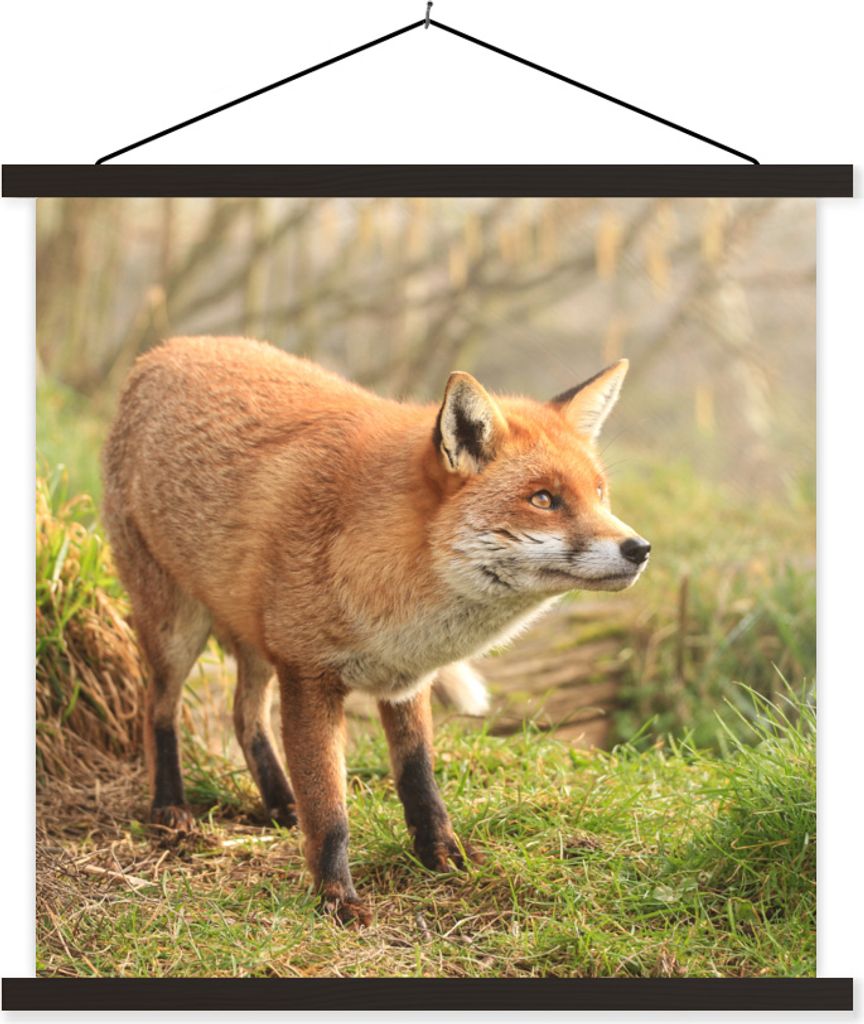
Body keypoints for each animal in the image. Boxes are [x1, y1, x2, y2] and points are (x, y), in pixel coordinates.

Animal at [102, 336, 650, 924]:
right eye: (544, 499)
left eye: (599, 494)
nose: (639, 549)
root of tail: (163, 349)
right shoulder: (308, 675)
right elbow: (331, 809)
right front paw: (335, 897)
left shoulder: (405, 679)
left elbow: (419, 780)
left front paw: (444, 857)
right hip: (175, 628)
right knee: (159, 710)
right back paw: (170, 808)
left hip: (255, 640)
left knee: (244, 715)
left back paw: (280, 802)